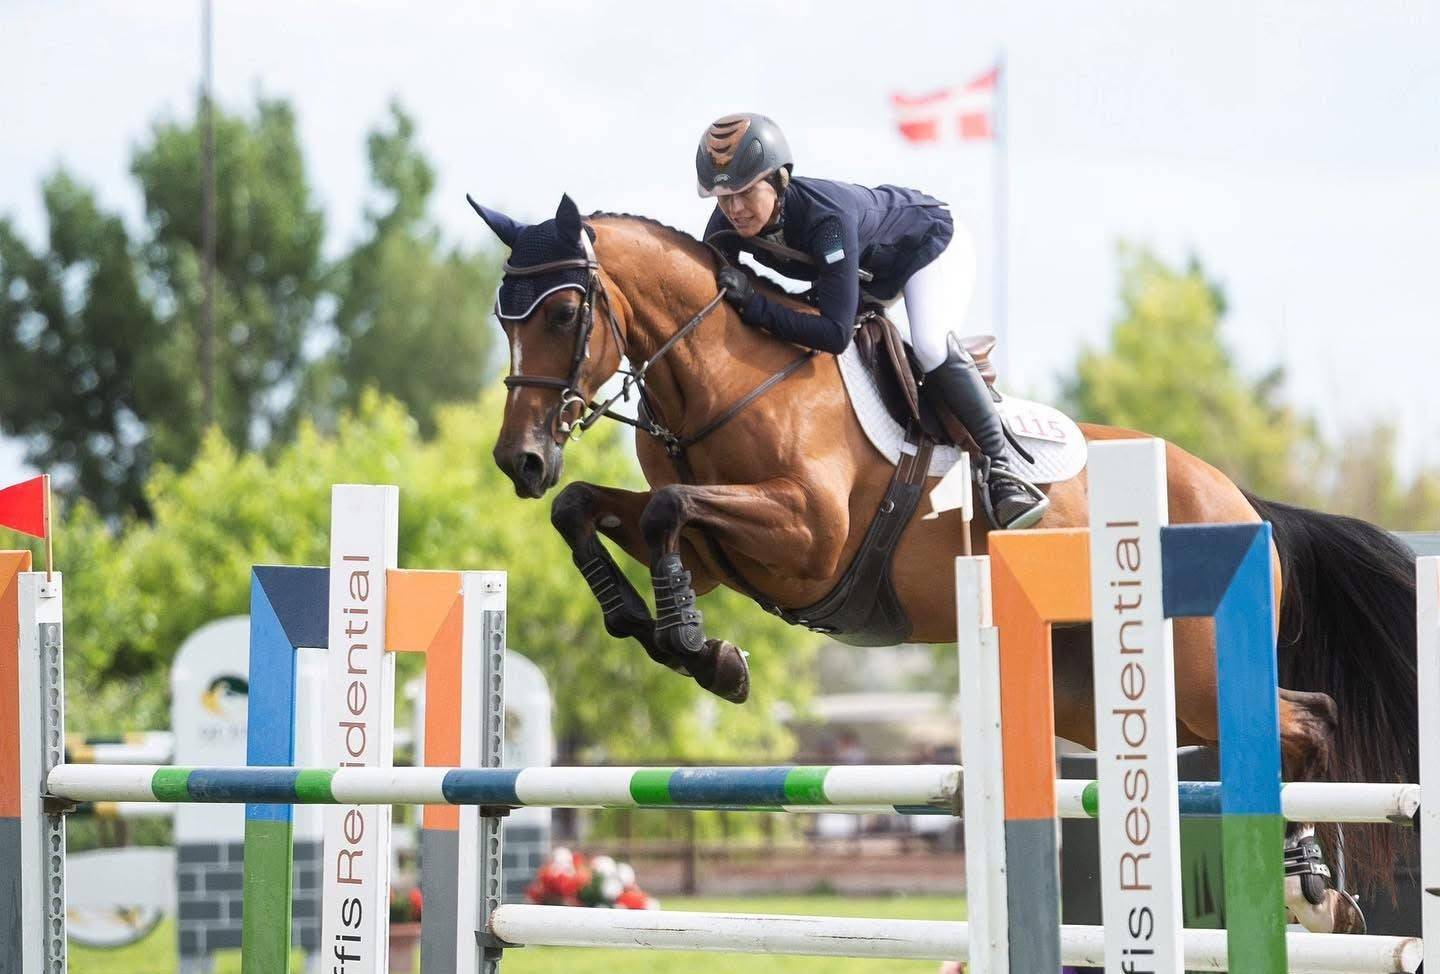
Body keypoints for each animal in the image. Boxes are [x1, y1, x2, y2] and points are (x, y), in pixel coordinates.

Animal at [468, 194, 1417, 921]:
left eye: (562, 314)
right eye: (502, 319)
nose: (520, 461)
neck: (727, 377)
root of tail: (1242, 500)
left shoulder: (807, 536)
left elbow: (667, 510)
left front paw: (704, 651)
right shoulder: (713, 556)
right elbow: (590, 510)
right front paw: (669, 634)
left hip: (1189, 667)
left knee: (1308, 722)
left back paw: (1310, 886)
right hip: (1103, 691)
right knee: (1285, 723)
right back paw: (1314, 885)